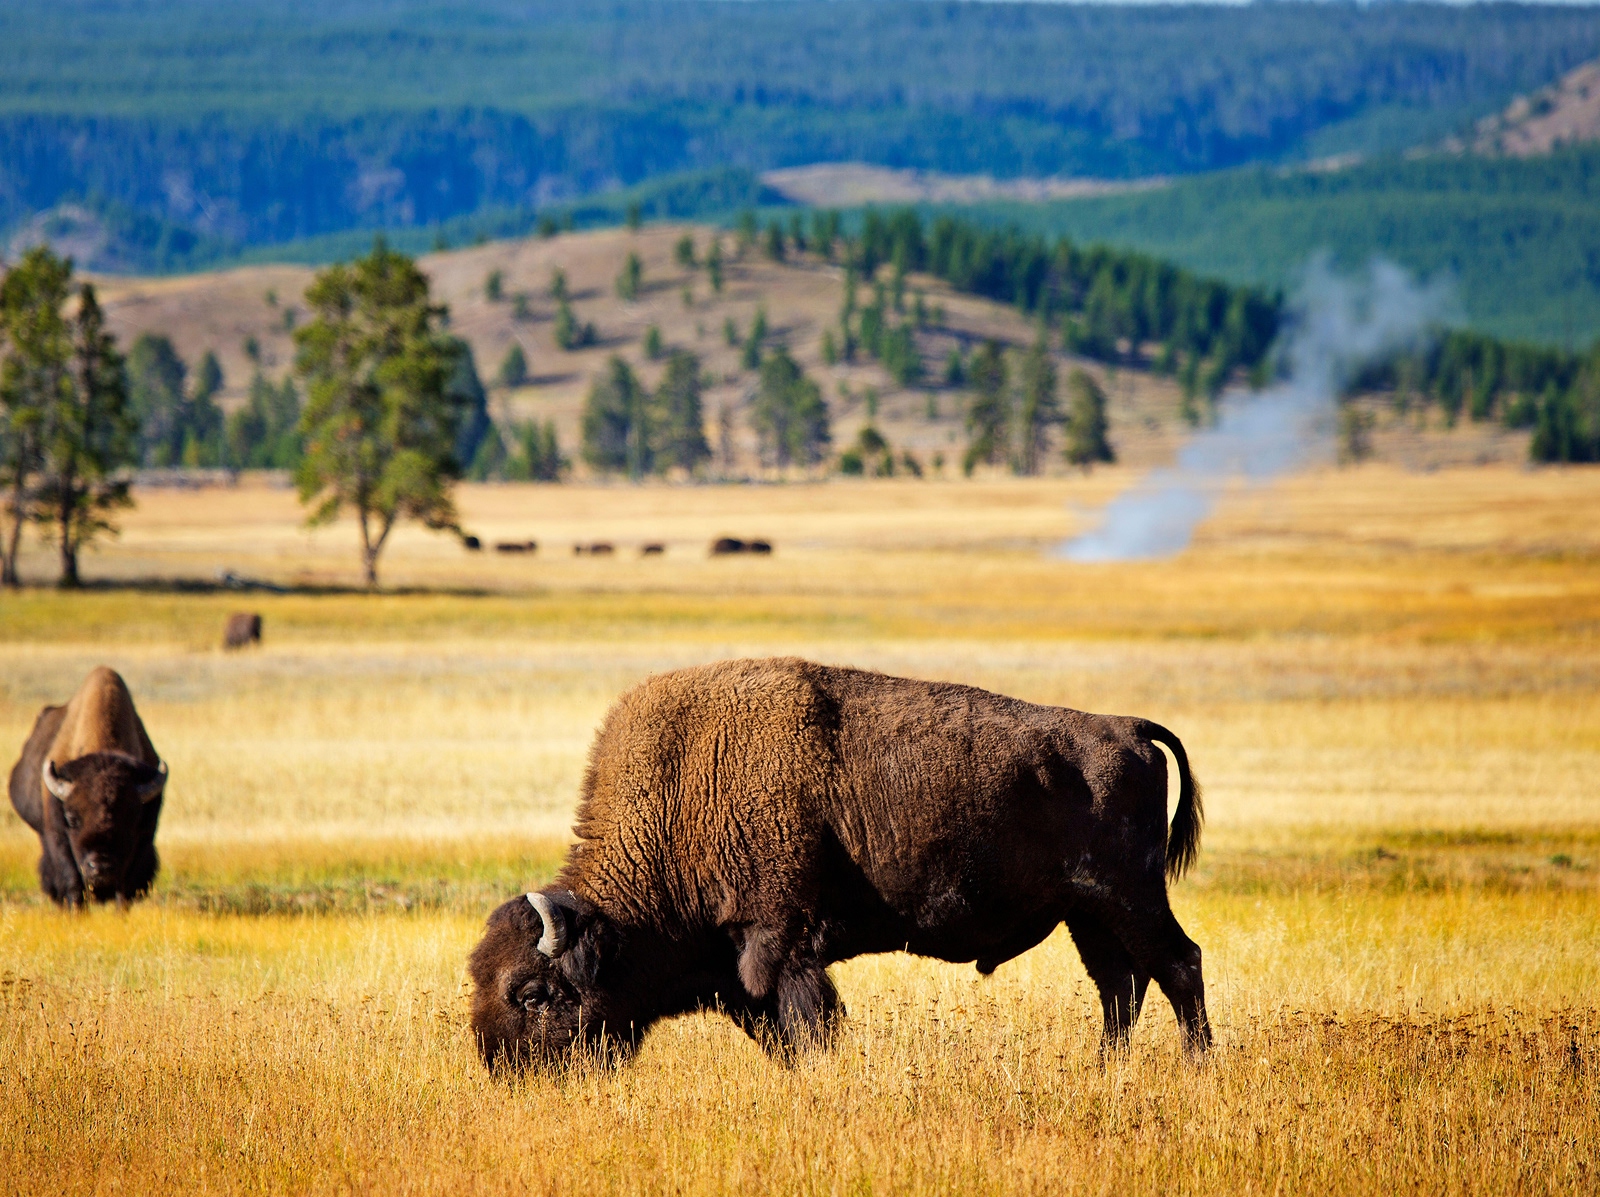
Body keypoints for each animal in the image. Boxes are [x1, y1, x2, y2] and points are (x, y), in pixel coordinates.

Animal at [7, 666, 168, 905]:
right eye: (72, 819)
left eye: (131, 819)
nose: (100, 868)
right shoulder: (59, 837)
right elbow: (72, 882)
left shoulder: (143, 839)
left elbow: (125, 889)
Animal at [469, 657, 1209, 1072]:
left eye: (531, 993)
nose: (505, 1071)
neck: (683, 791)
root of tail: (1126, 727)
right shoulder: (742, 970)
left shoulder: (780, 945)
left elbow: (809, 1026)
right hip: (1088, 913)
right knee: (1120, 984)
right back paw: (1106, 1070)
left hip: (1129, 896)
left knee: (1177, 964)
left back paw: (1197, 1069)